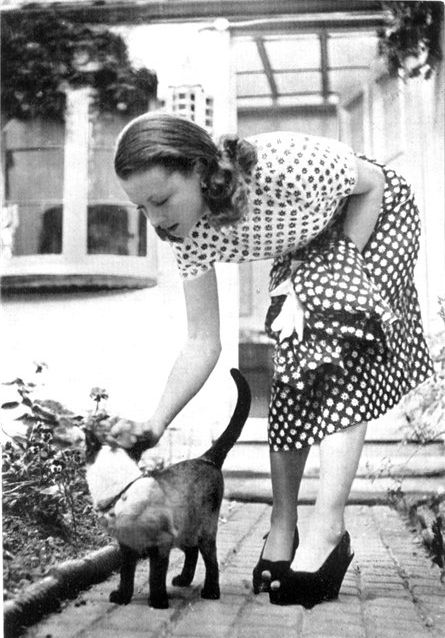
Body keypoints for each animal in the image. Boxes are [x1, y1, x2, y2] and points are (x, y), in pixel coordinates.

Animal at [83, 370, 250, 608]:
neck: (121, 494)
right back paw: (183, 580)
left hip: (204, 532)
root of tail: (206, 458)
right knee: (192, 552)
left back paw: (210, 592)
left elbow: (155, 576)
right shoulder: (127, 547)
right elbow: (126, 575)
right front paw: (123, 597)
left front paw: (158, 602)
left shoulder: (160, 544)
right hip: (185, 531)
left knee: (211, 561)